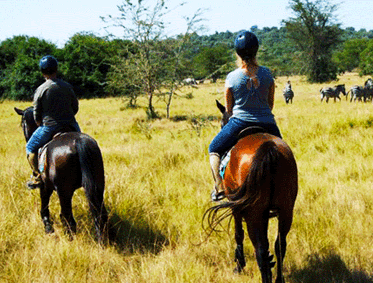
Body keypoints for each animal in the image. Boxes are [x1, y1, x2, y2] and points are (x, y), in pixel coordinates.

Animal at [14, 106, 107, 244]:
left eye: (22, 123)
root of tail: (78, 141)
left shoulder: (45, 185)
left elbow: (44, 204)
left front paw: (47, 226)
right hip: (98, 185)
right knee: (100, 215)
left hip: (64, 192)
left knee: (69, 219)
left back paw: (69, 239)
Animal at [202, 101, 298, 282]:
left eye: (222, 123)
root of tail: (269, 148)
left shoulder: (237, 206)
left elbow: (238, 234)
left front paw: (239, 265)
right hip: (286, 209)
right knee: (280, 244)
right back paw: (278, 277)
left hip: (253, 212)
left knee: (259, 249)